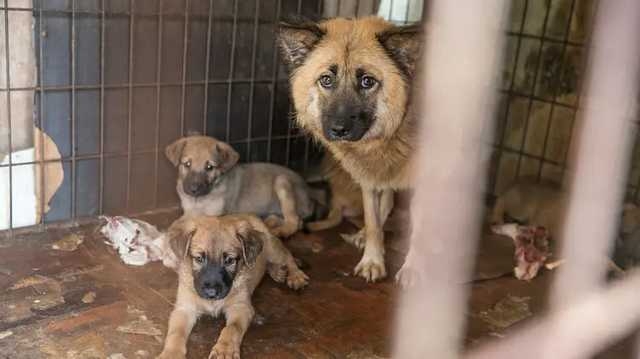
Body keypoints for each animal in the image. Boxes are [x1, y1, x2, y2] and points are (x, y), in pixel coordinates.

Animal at [157, 215, 308, 358]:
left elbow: (231, 329)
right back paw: (278, 272)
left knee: (288, 256)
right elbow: (176, 333)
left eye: (229, 260)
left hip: (272, 249)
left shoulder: (240, 307)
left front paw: (224, 350)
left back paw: (295, 275)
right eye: (199, 259)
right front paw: (170, 353)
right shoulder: (184, 309)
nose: (211, 293)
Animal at [168, 136, 322, 238]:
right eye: (187, 164)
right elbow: (178, 221)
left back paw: (279, 231)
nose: (193, 189)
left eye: (209, 167)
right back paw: (270, 221)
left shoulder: (214, 214)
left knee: (295, 221)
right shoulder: (188, 210)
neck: (199, 200)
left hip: (282, 181)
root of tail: (310, 195)